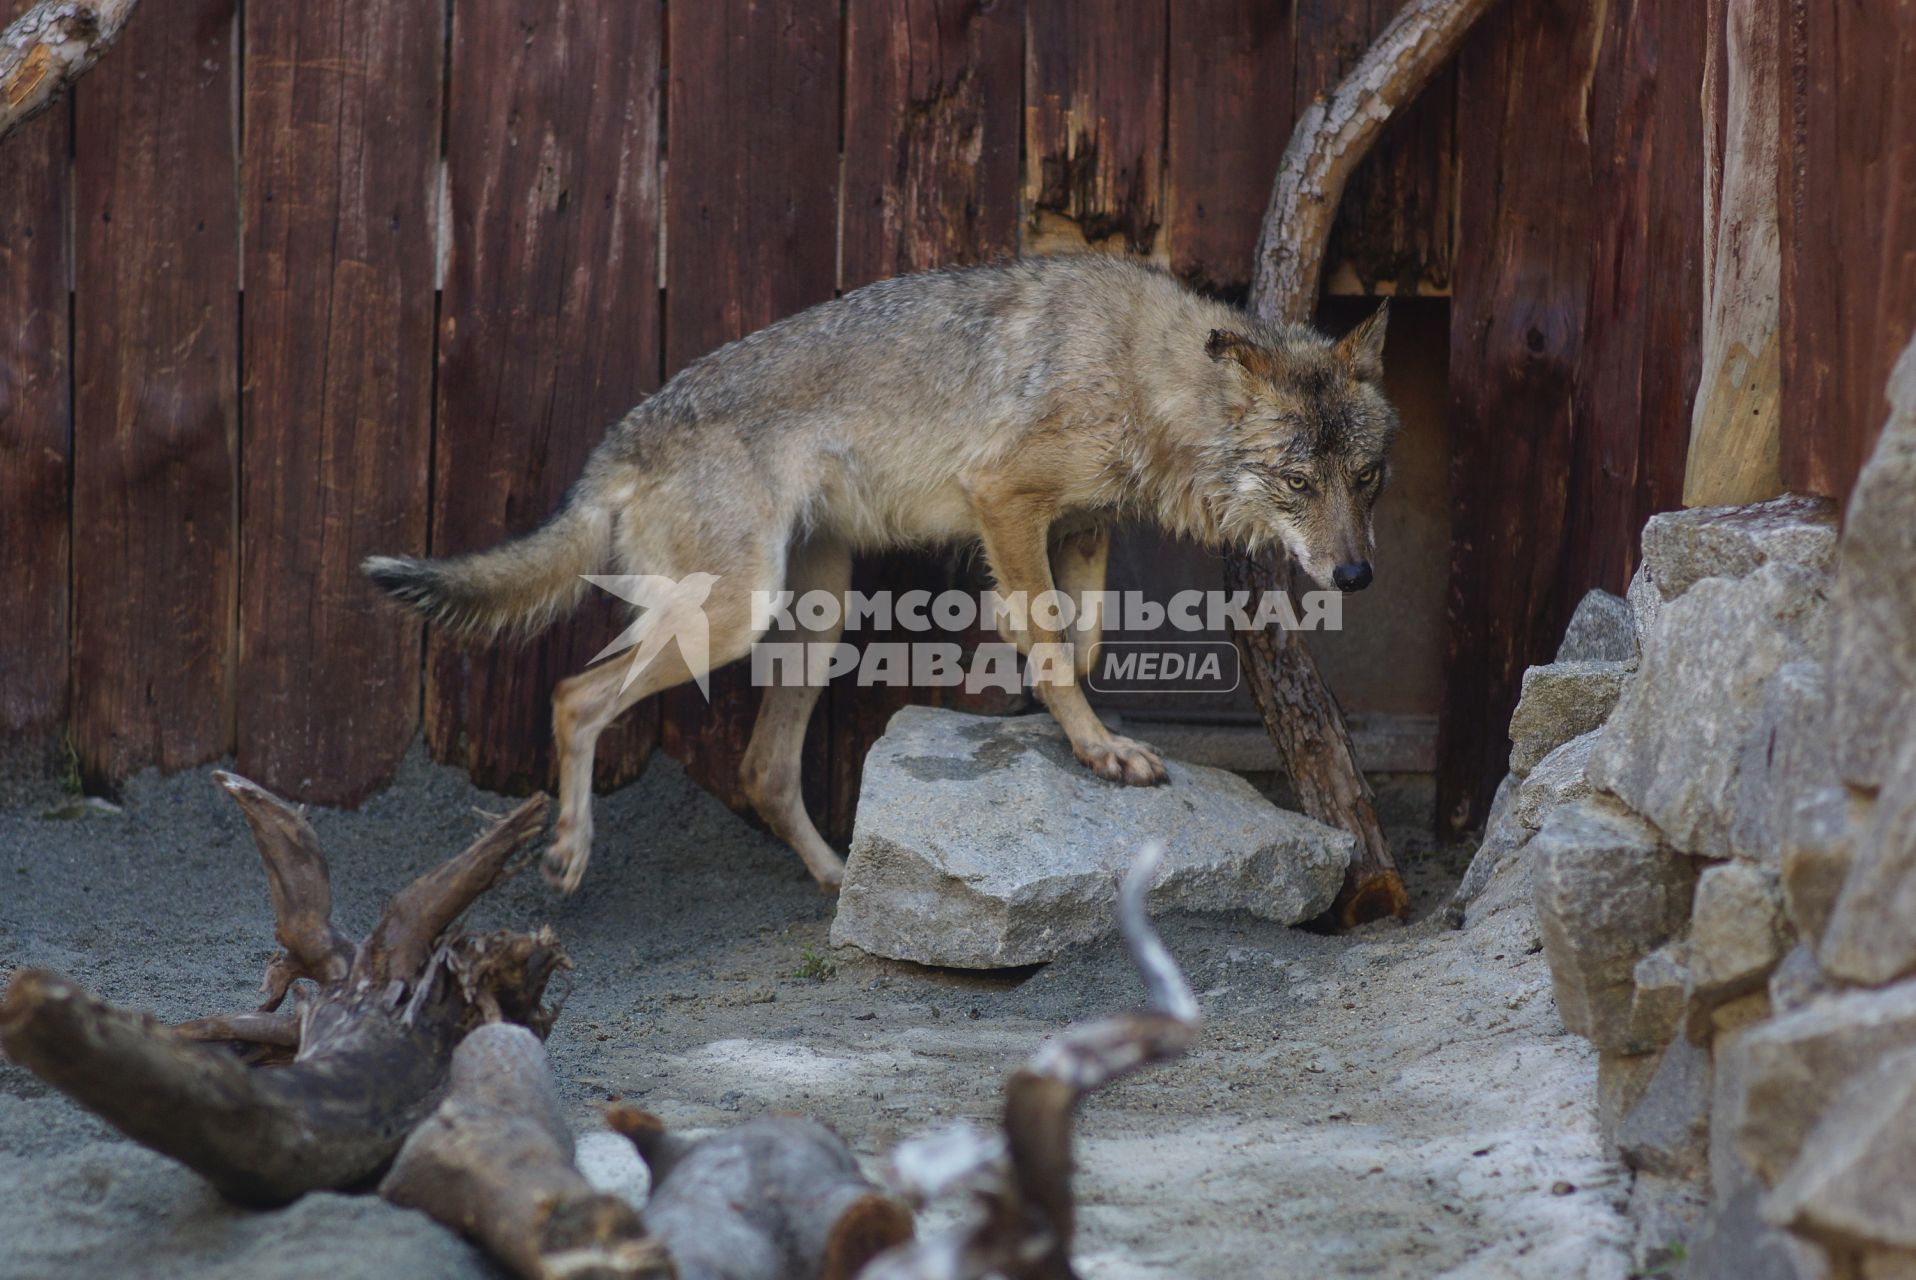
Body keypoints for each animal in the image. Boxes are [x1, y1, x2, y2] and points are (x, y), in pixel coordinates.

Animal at [365, 254, 1402, 896]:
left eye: (1366, 478)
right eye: (1298, 483)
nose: (1355, 574)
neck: (1144, 377)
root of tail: (615, 445)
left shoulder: (1080, 523)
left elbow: (1082, 638)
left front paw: (1080, 725)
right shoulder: (1002, 498)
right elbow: (1050, 640)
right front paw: (1096, 749)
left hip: (812, 620)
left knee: (761, 770)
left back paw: (835, 881)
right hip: (732, 618)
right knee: (576, 696)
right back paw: (569, 855)